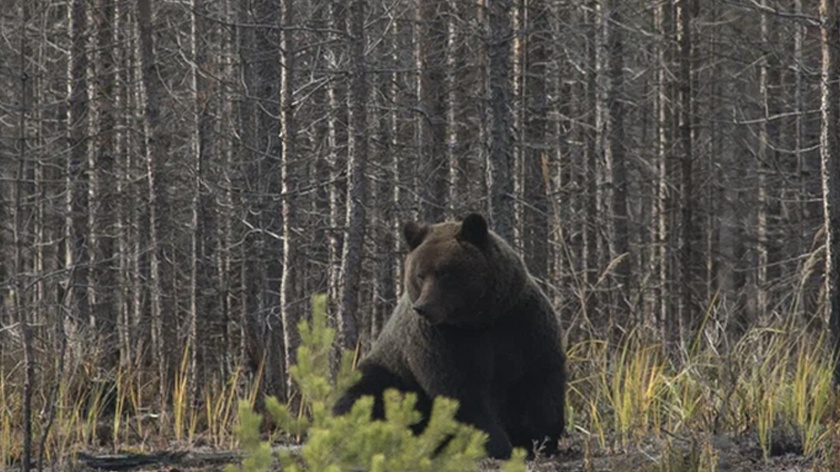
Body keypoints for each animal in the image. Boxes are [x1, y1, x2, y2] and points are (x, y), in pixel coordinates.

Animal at [334, 213, 564, 458]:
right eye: (420, 274)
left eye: (444, 272)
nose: (422, 307)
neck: (478, 320)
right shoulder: (440, 338)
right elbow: (459, 390)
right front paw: (495, 442)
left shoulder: (520, 323)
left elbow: (540, 380)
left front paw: (539, 438)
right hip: (392, 372)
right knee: (361, 392)